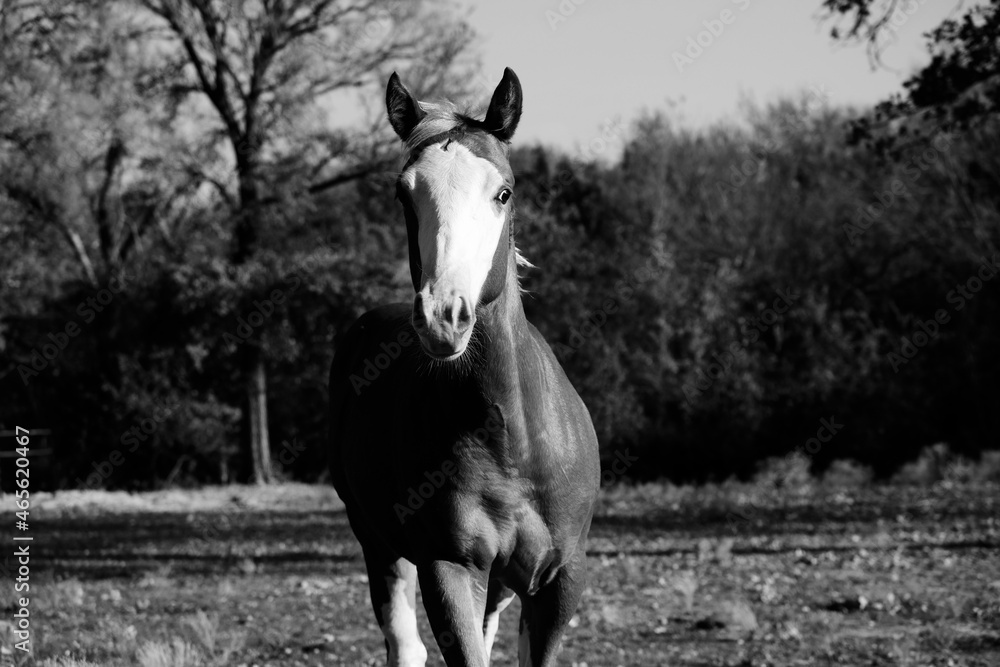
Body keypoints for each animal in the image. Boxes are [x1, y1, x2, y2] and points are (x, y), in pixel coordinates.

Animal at [329, 67, 600, 667]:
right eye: (404, 193)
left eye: (504, 192)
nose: (442, 316)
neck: (512, 438)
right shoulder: (447, 570)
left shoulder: (559, 581)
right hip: (377, 542)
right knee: (404, 644)